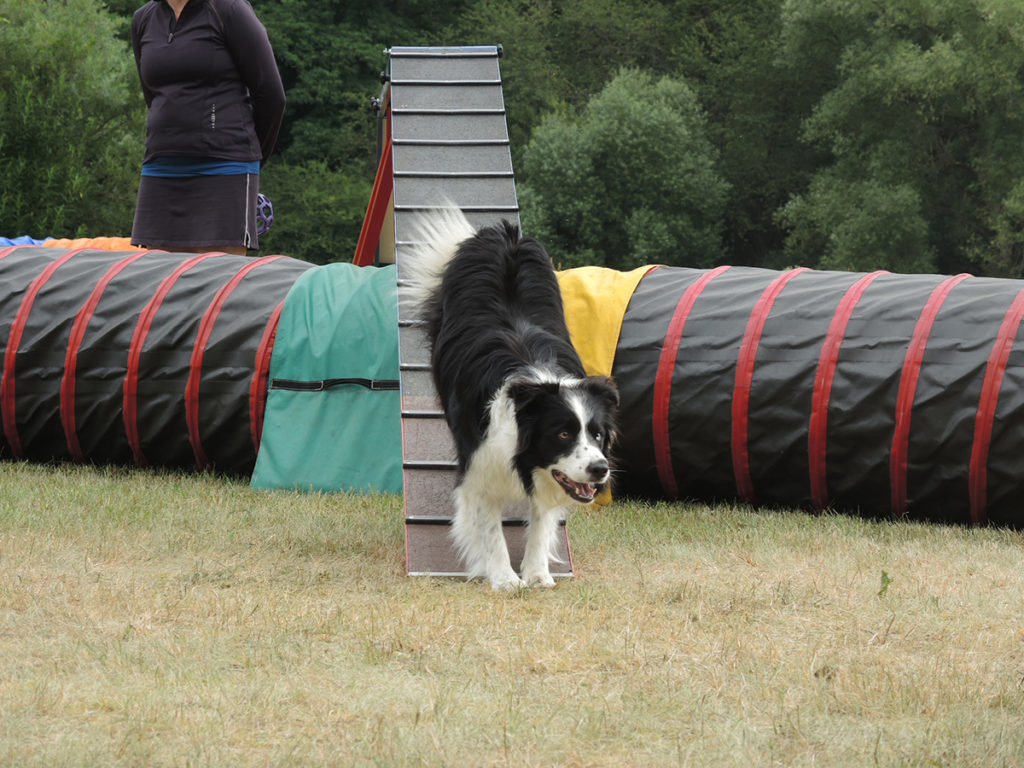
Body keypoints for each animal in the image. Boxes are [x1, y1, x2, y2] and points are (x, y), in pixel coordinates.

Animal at [405, 207, 614, 593]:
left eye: (597, 434)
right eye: (563, 434)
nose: (600, 469)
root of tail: (504, 235)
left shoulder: (550, 475)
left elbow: (542, 520)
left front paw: (537, 574)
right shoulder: (479, 464)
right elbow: (489, 528)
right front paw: (504, 578)